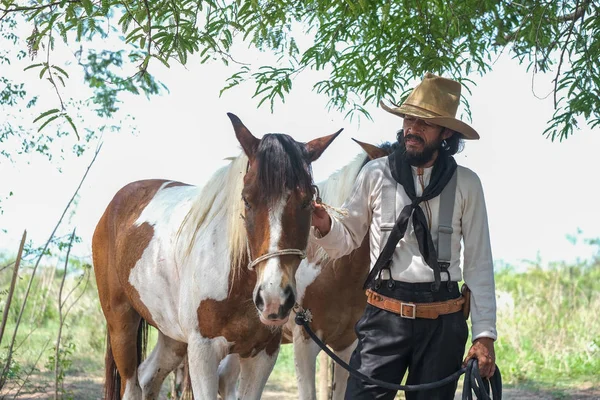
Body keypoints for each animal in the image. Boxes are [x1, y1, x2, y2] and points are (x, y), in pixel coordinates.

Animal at [91, 113, 340, 400]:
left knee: (148, 377)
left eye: (308, 201)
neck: (234, 278)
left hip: (172, 338)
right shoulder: (203, 352)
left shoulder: (263, 354)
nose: (273, 298)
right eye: (247, 200)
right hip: (121, 324)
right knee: (132, 385)